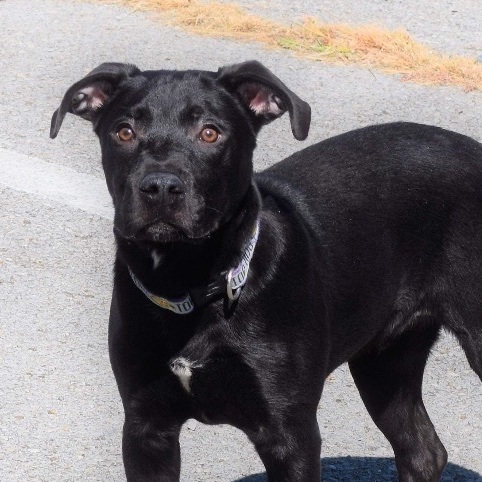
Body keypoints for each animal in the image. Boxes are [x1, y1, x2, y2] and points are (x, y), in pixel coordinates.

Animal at [50, 61, 480, 482]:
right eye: (124, 131)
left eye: (210, 133)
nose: (160, 187)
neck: (192, 282)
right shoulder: (146, 428)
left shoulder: (289, 435)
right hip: (385, 357)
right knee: (422, 452)